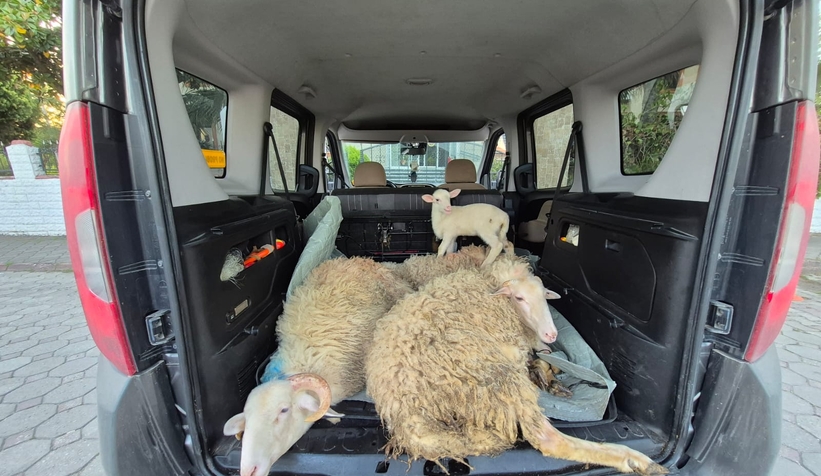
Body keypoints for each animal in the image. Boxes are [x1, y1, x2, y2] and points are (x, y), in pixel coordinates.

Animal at [365, 263, 666, 475]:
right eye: (519, 298)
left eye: (545, 297)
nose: (552, 334)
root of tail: (404, 411)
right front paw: (546, 374)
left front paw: (549, 374)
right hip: (493, 377)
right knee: (545, 437)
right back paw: (636, 460)